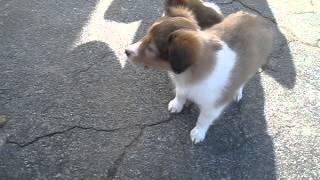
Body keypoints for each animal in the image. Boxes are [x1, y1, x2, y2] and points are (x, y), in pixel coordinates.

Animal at [125, 9, 272, 143]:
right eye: (146, 36)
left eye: (151, 49)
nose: (126, 51)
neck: (189, 72)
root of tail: (255, 17)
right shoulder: (182, 85)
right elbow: (180, 94)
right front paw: (176, 105)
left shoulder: (213, 106)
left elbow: (203, 119)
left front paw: (198, 133)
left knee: (243, 80)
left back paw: (237, 92)